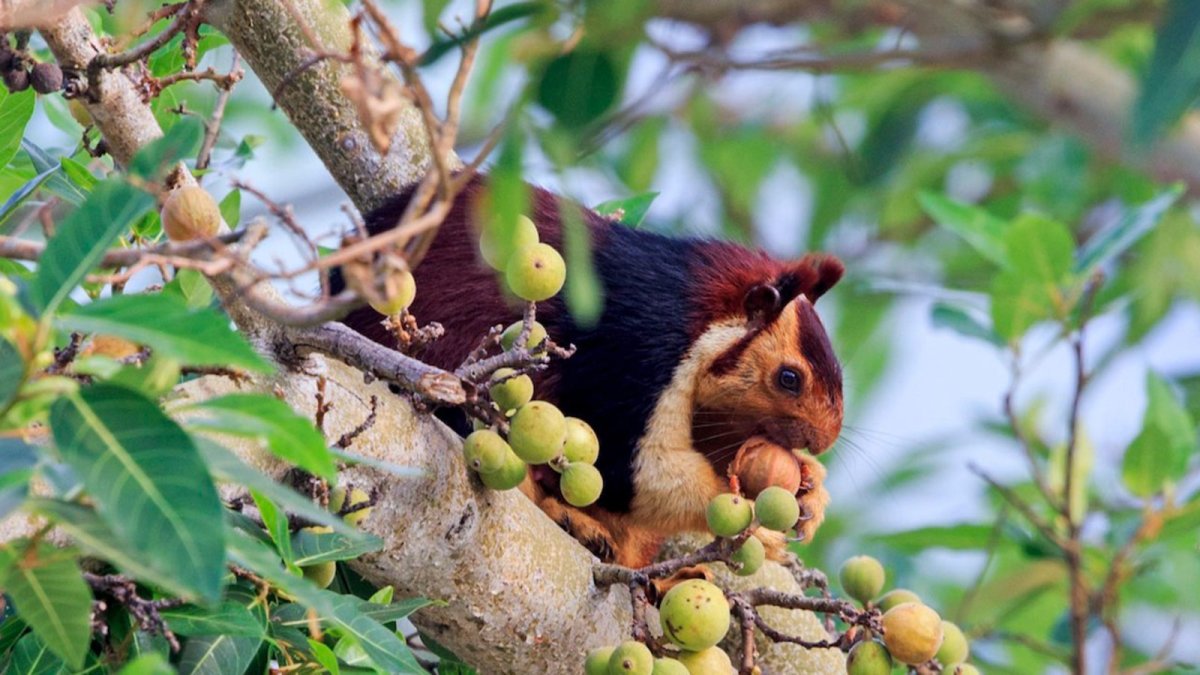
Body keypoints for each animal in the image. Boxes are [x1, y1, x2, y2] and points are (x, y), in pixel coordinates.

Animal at [336, 175, 844, 568]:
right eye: (789, 378)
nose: (824, 439)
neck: (693, 315)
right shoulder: (634, 352)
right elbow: (627, 472)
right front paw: (761, 528)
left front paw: (811, 487)